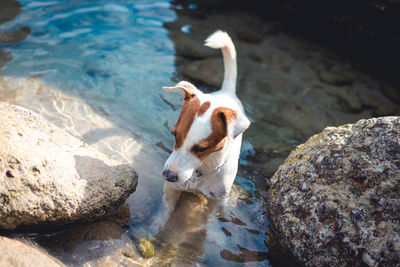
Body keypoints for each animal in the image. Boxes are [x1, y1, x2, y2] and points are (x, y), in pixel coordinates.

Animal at [160, 30, 250, 214]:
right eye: (174, 134)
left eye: (201, 148)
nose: (168, 176)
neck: (200, 172)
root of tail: (227, 91)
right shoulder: (172, 190)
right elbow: (163, 213)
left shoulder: (217, 199)